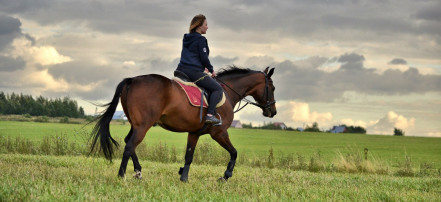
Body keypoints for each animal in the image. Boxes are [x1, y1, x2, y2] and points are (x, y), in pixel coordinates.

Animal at [89, 66, 276, 181]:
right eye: (272, 88)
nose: (272, 112)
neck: (227, 92)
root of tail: (132, 80)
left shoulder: (194, 133)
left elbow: (189, 156)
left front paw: (183, 177)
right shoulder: (219, 133)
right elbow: (234, 152)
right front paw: (225, 176)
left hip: (136, 125)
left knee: (129, 142)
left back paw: (138, 172)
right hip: (143, 126)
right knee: (129, 146)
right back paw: (122, 176)